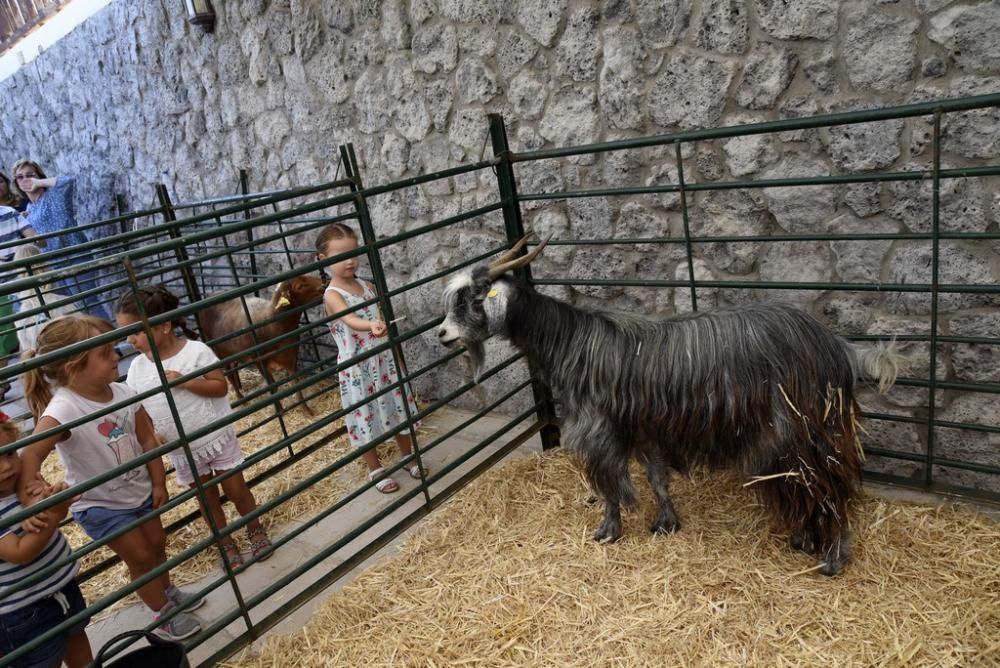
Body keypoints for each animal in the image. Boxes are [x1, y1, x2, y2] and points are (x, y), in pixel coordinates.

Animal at [201, 276, 326, 412]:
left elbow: (296, 382)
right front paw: (279, 410)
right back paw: (241, 398)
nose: (325, 284)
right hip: (219, 353)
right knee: (229, 376)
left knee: (234, 370)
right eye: (300, 286)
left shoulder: (291, 354)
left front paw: (306, 409)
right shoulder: (259, 360)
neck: (275, 325)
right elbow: (273, 387)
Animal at [442, 237, 904, 576]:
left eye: (471, 300)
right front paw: (666, 523)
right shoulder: (647, 426)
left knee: (828, 485)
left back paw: (832, 557)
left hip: (797, 429)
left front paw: (608, 531)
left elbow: (610, 484)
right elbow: (657, 476)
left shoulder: (599, 430)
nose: (444, 335)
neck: (572, 343)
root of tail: (838, 347)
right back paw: (806, 539)